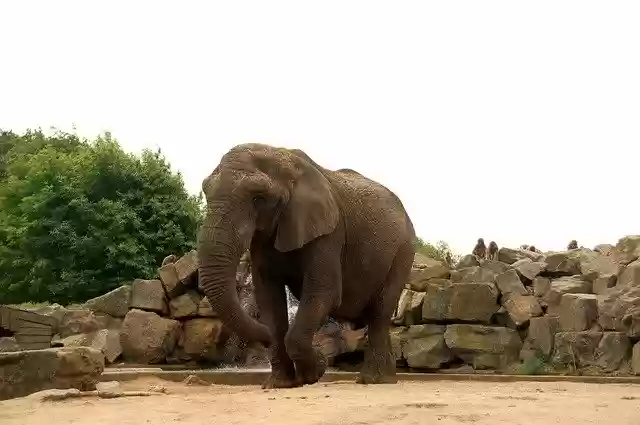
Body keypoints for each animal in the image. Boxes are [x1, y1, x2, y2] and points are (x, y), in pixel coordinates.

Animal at [197, 143, 416, 388]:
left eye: (258, 198)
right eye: (205, 192)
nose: (262, 340)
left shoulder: (329, 233)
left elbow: (323, 293)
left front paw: (316, 371)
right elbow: (268, 298)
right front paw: (279, 384)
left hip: (403, 251)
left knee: (380, 313)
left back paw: (373, 380)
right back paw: (382, 378)